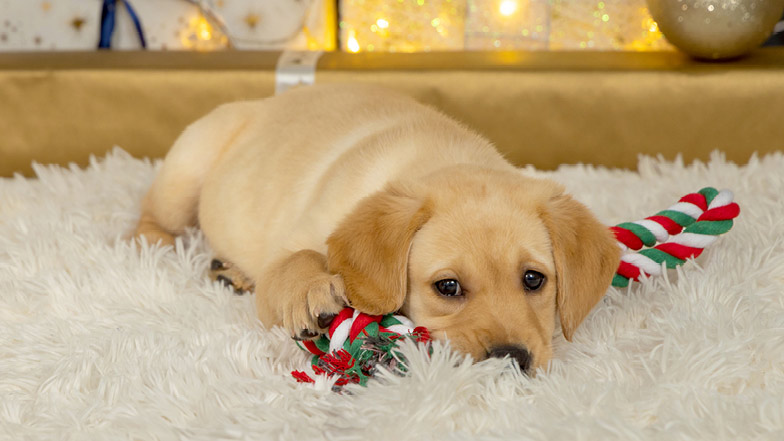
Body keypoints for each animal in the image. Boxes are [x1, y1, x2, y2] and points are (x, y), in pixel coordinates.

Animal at [138, 83, 620, 372]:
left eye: (534, 279)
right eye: (448, 287)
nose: (510, 360)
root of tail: (262, 101)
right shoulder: (288, 252)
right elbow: (296, 259)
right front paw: (312, 290)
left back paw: (231, 271)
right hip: (186, 169)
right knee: (150, 217)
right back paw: (157, 246)